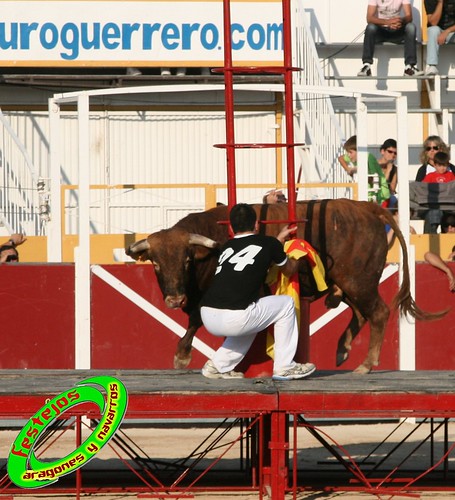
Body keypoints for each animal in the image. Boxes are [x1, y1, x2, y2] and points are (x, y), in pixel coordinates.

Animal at [125, 199, 446, 376]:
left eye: (187, 260)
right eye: (155, 264)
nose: (174, 299)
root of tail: (365, 207)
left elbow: (195, 319)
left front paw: (181, 356)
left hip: (360, 280)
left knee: (377, 312)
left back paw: (366, 364)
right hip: (348, 283)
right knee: (360, 312)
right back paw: (342, 350)